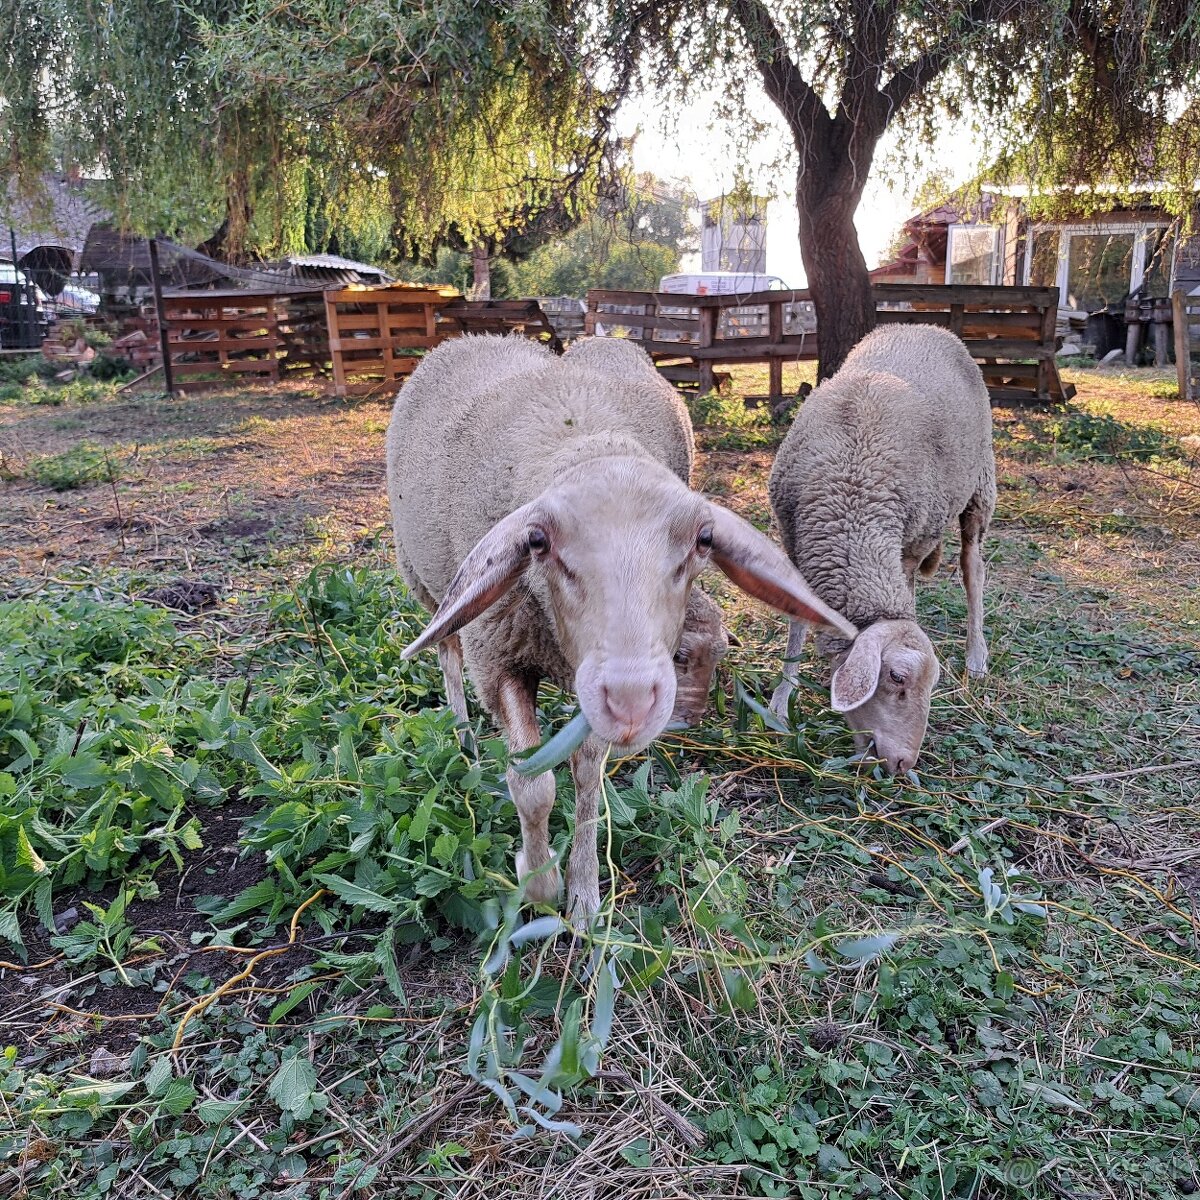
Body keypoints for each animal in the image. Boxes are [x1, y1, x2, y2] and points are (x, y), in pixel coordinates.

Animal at [386, 333, 854, 912]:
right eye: (537, 541)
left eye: (703, 539)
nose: (632, 701)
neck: (586, 441)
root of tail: (472, 337)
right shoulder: (498, 658)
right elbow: (533, 788)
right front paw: (538, 884)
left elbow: (587, 777)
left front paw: (584, 892)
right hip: (429, 587)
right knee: (448, 655)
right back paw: (465, 739)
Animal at [768, 324, 993, 772]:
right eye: (897, 678)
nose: (905, 763)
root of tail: (927, 327)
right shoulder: (794, 539)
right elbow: (796, 624)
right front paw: (781, 705)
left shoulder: (911, 540)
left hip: (980, 486)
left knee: (971, 569)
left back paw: (976, 656)